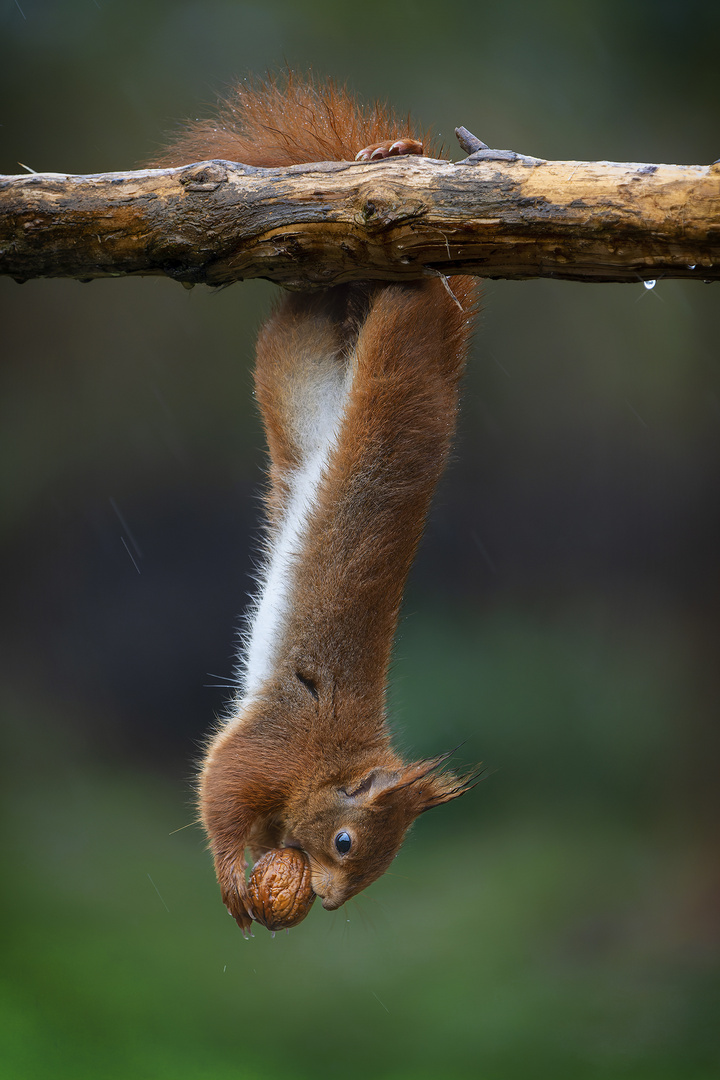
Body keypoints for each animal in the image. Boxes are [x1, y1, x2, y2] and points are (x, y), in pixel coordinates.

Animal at [155, 76, 481, 933]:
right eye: (343, 843)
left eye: (378, 867)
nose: (332, 902)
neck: (330, 757)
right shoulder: (272, 743)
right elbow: (219, 791)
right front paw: (233, 878)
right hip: (402, 329)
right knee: (412, 291)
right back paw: (398, 164)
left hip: (298, 358)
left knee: (313, 304)